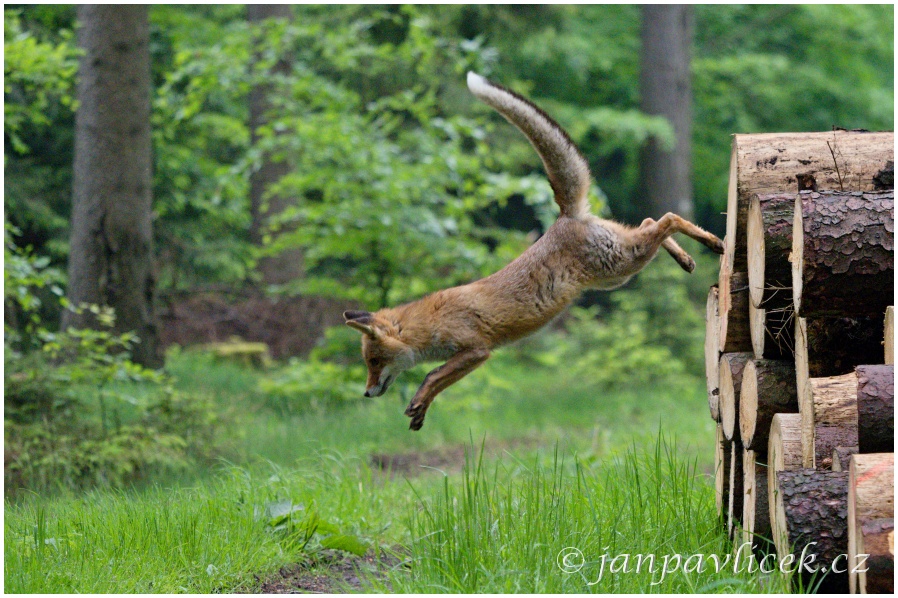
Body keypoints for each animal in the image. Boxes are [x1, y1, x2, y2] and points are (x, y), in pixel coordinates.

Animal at [344, 72, 720, 432]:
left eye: (374, 362)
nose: (366, 392)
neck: (432, 323)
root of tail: (565, 216)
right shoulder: (472, 355)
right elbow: (436, 381)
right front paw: (420, 412)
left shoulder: (477, 349)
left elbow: (431, 375)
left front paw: (419, 402)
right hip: (619, 272)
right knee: (651, 220)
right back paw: (685, 258)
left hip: (624, 260)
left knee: (668, 217)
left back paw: (712, 242)